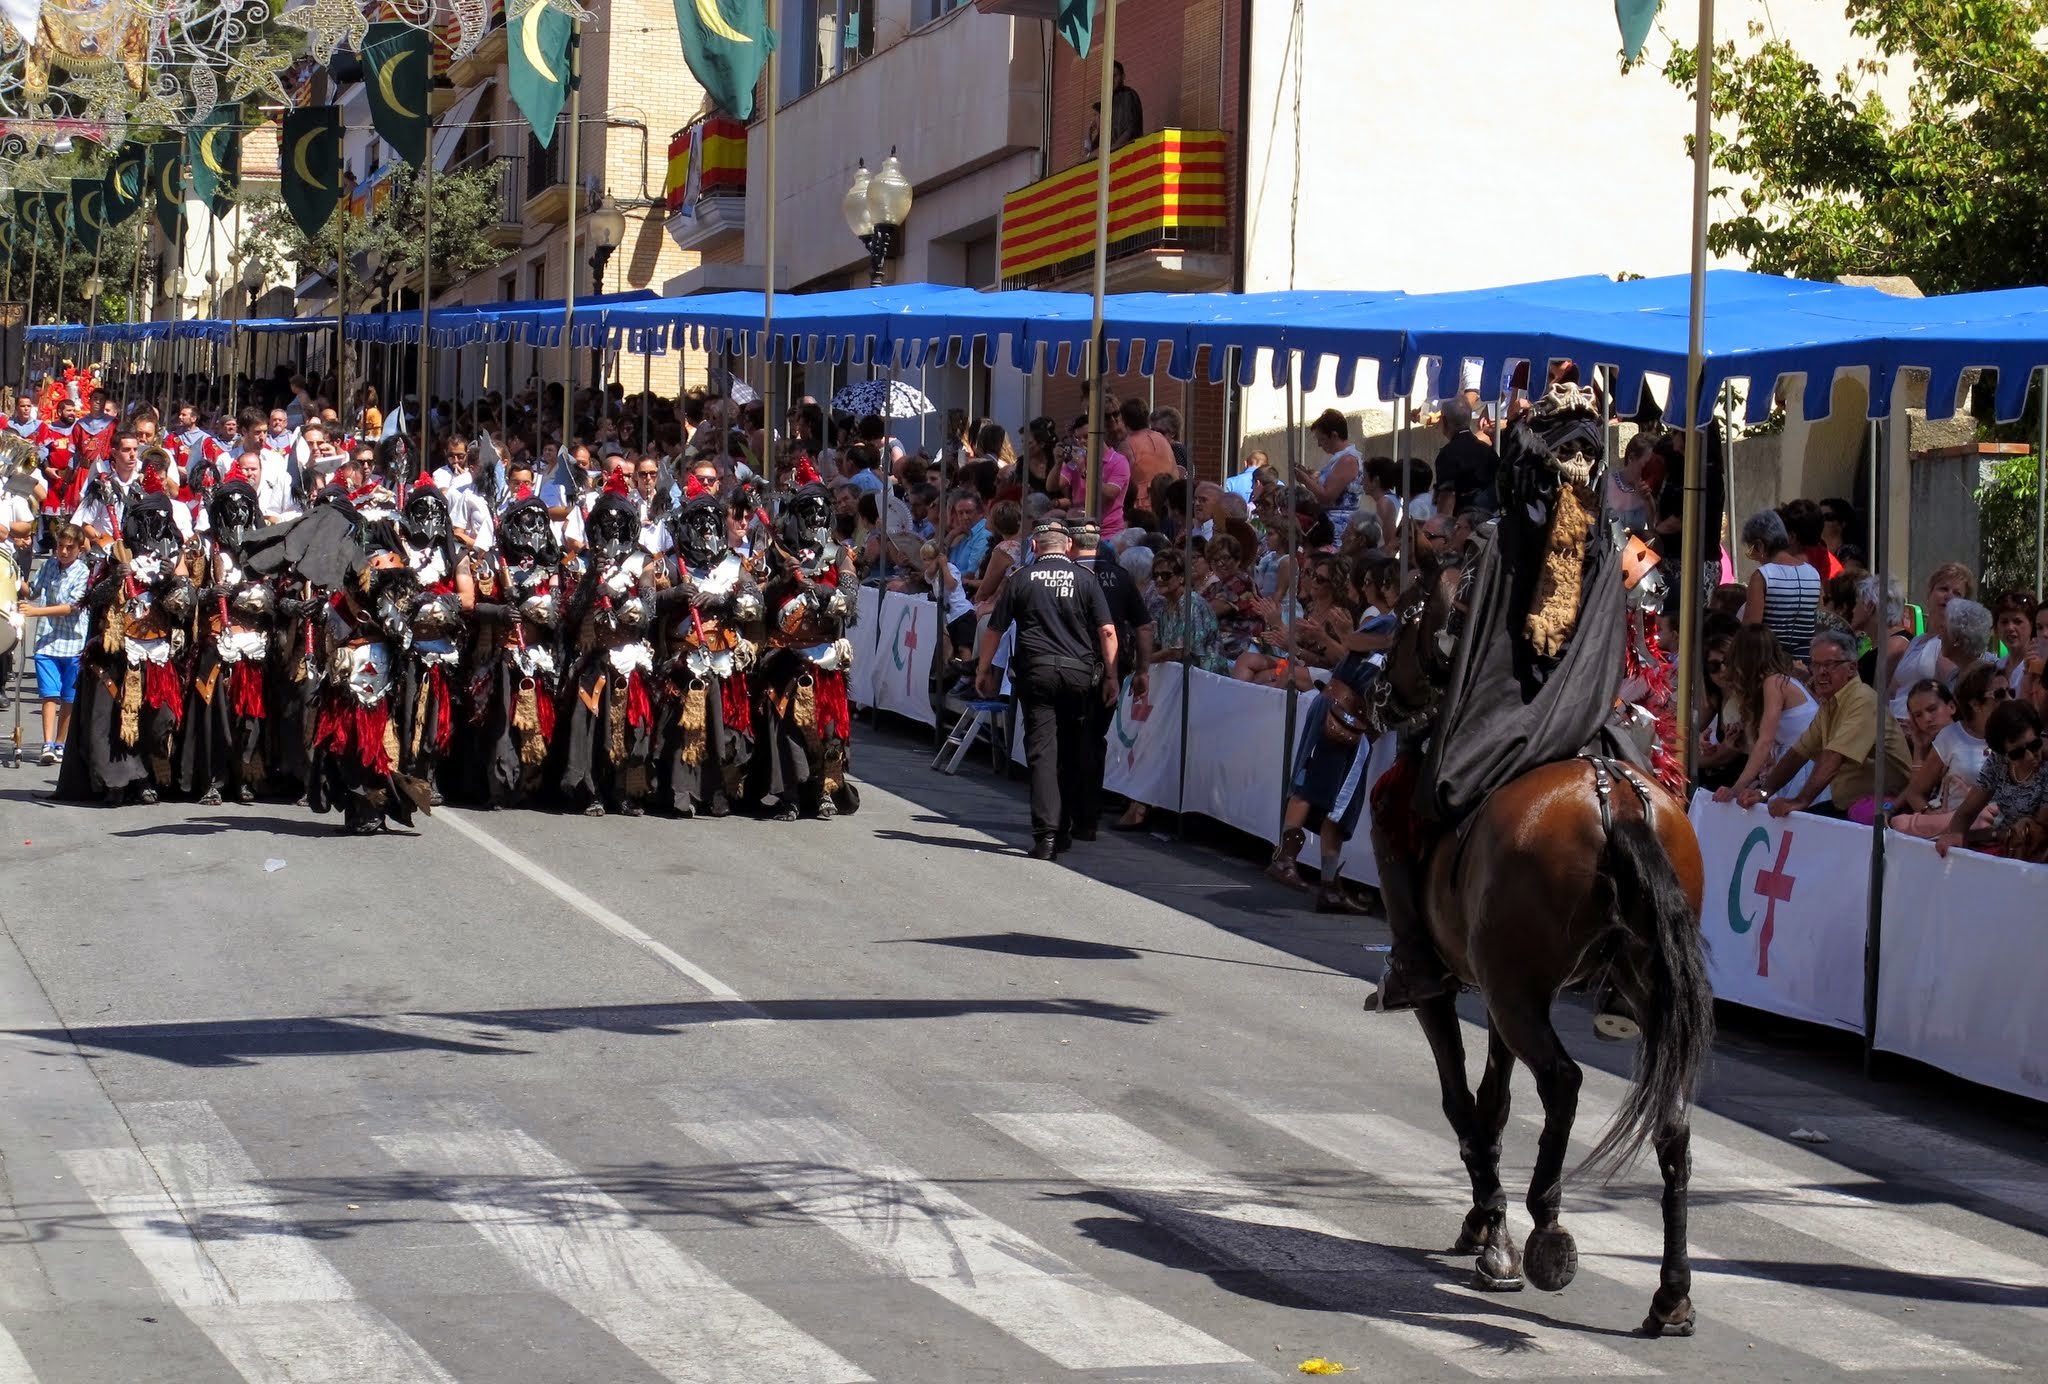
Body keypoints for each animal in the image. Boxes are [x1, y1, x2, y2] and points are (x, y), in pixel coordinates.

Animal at [1368, 554, 1713, 1337]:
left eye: (1409, 617)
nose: (1377, 695)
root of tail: (1613, 795)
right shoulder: (1499, 993)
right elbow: (1494, 1104)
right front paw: (1482, 1226)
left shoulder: (1456, 992)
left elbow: (1463, 1104)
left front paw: (1493, 1236)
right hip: (1628, 988)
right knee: (1673, 1124)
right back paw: (1671, 1295)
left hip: (1519, 994)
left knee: (1563, 1080)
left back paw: (1547, 1228)